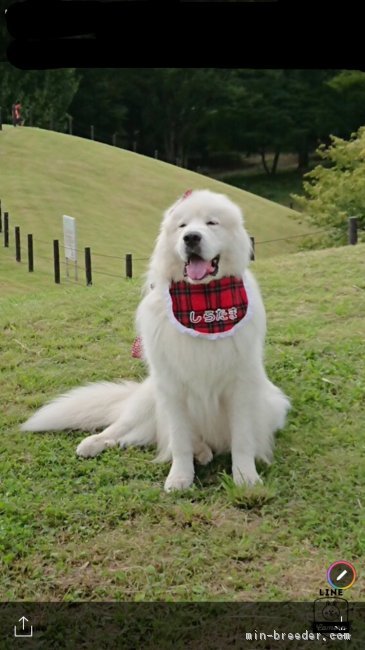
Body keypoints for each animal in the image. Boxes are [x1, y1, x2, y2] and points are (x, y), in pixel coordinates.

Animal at [22, 190, 290, 488]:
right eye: (182, 226)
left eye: (211, 223)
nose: (191, 238)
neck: (203, 302)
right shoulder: (172, 389)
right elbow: (179, 441)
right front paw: (180, 477)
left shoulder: (241, 387)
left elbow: (242, 440)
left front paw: (246, 477)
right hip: (150, 400)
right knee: (125, 428)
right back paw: (95, 443)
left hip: (272, 406)